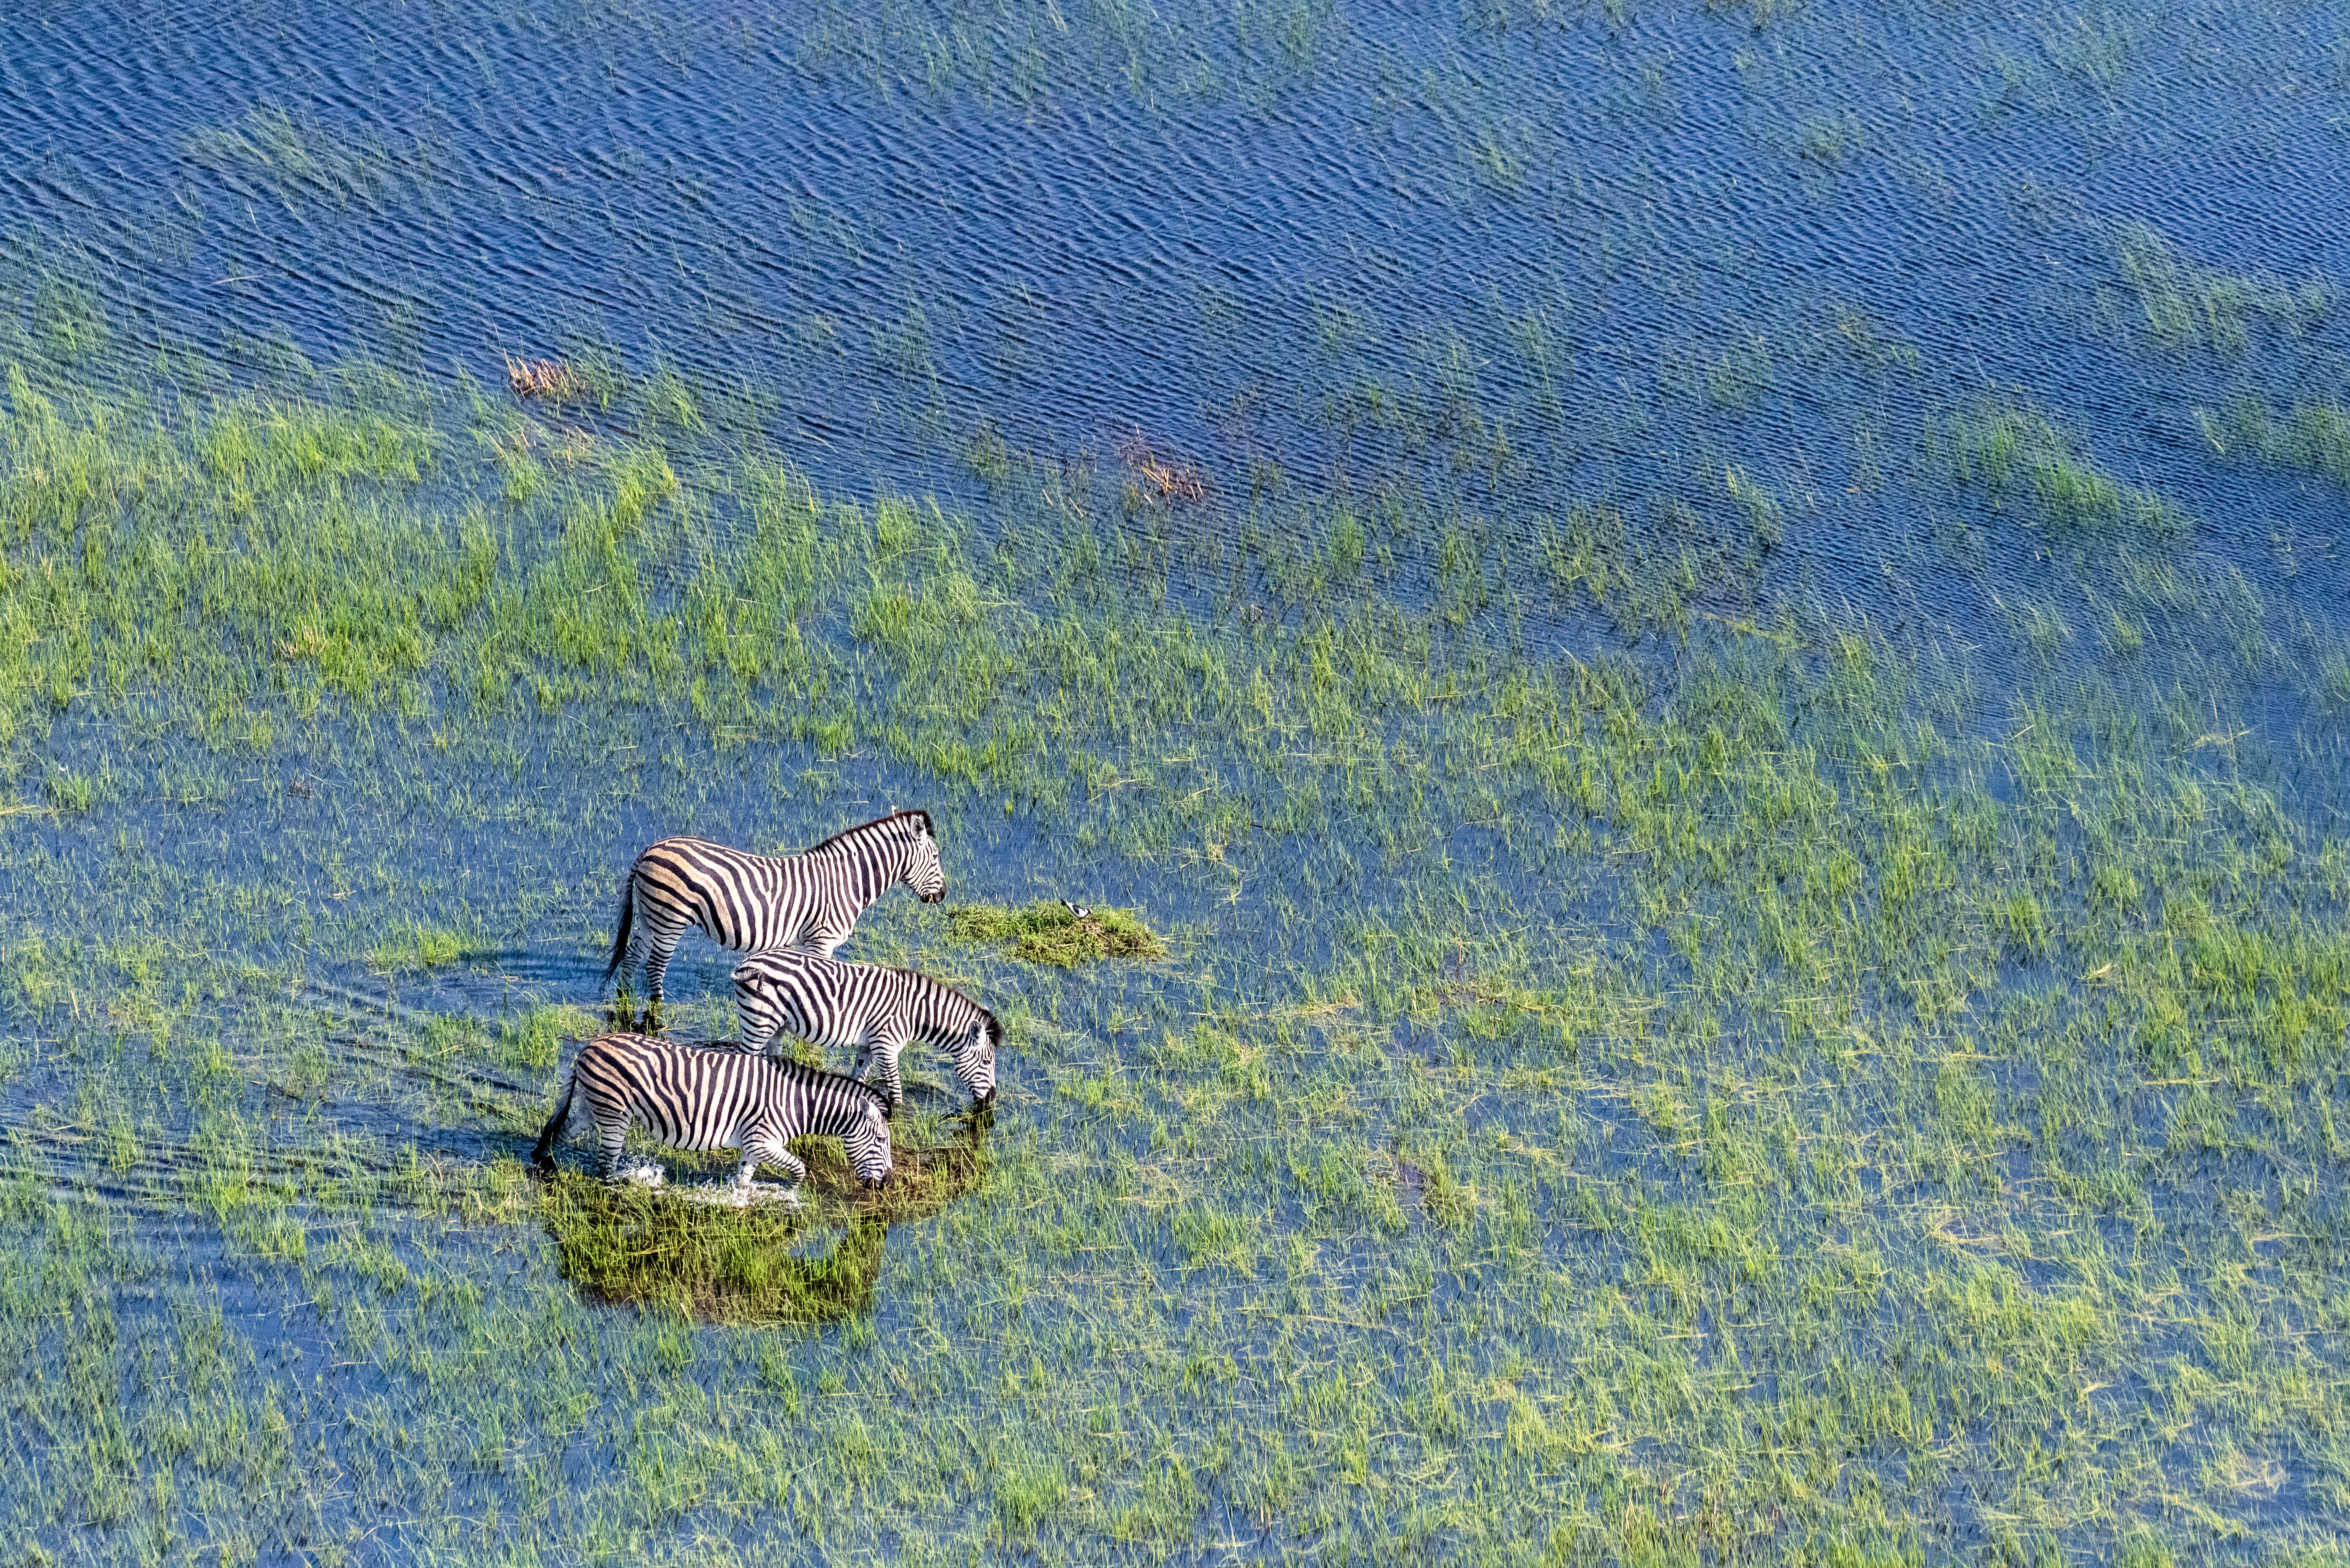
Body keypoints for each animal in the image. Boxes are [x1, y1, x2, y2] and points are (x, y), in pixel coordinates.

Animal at [533, 1031, 893, 1192]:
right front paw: (792, 1195)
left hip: (590, 1106)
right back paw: (621, 1186)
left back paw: (545, 1164)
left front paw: (741, 1201)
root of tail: (591, 1044)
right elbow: (799, 1169)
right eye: (880, 1141)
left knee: (561, 1132)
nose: (886, 1184)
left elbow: (743, 1180)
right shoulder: (763, 1140)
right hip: (614, 1114)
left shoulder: (753, 1146)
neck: (795, 1103)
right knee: (605, 1165)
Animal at [603, 809, 946, 1004]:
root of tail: (649, 850)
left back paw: (624, 1000)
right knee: (654, 966)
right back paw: (659, 1010)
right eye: (936, 857)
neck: (847, 880)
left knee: (632, 958)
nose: (943, 895)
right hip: (669, 918)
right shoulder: (822, 939)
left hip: (650, 915)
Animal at [730, 948, 999, 1118]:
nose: (992, 1100)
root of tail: (747, 964)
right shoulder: (886, 1047)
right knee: (744, 1060)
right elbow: (896, 1094)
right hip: (758, 1021)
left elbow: (859, 1080)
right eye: (987, 1062)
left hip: (777, 1026)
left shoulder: (869, 1047)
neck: (913, 1013)